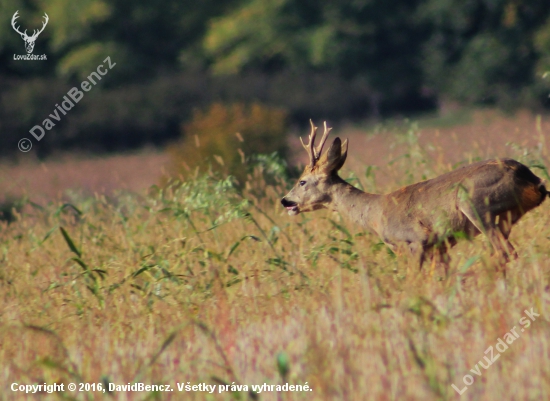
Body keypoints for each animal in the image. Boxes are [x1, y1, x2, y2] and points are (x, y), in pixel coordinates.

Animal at [282, 119, 548, 276]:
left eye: (302, 181)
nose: (285, 200)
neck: (375, 213)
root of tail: (532, 179)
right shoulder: (439, 247)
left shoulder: (417, 240)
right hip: (506, 217)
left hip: (475, 205)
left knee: (505, 252)